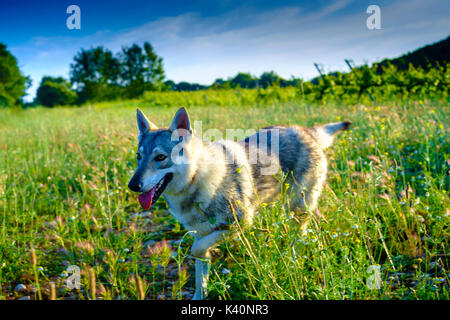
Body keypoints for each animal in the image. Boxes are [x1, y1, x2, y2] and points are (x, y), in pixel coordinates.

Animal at [128, 107, 350, 300]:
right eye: (138, 157)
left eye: (160, 157)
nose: (132, 185)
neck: (197, 178)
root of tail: (305, 131)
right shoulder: (200, 232)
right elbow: (200, 275)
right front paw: (201, 293)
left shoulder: (240, 223)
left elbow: (196, 249)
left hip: (297, 209)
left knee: (299, 239)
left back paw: (292, 260)